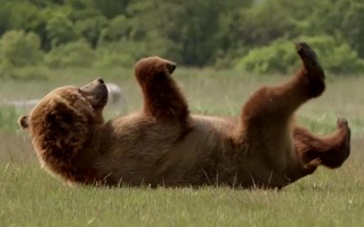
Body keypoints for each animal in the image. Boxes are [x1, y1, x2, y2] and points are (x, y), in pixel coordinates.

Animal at [18, 41, 352, 189]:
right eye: (78, 88)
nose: (100, 81)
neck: (88, 139)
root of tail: (291, 170)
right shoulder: (132, 143)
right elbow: (169, 109)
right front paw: (164, 63)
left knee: (301, 134)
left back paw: (339, 135)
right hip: (258, 143)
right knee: (265, 102)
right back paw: (310, 63)